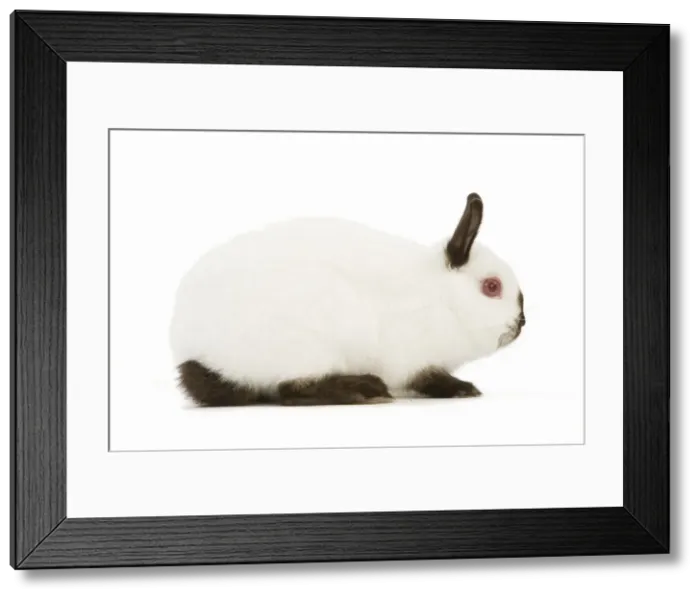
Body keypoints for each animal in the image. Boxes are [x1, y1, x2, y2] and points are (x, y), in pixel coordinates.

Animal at [169, 193, 526, 407]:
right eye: (491, 286)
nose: (521, 323)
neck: (441, 298)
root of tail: (194, 354)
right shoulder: (409, 360)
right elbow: (426, 378)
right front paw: (461, 387)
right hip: (310, 348)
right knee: (290, 390)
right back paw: (365, 390)